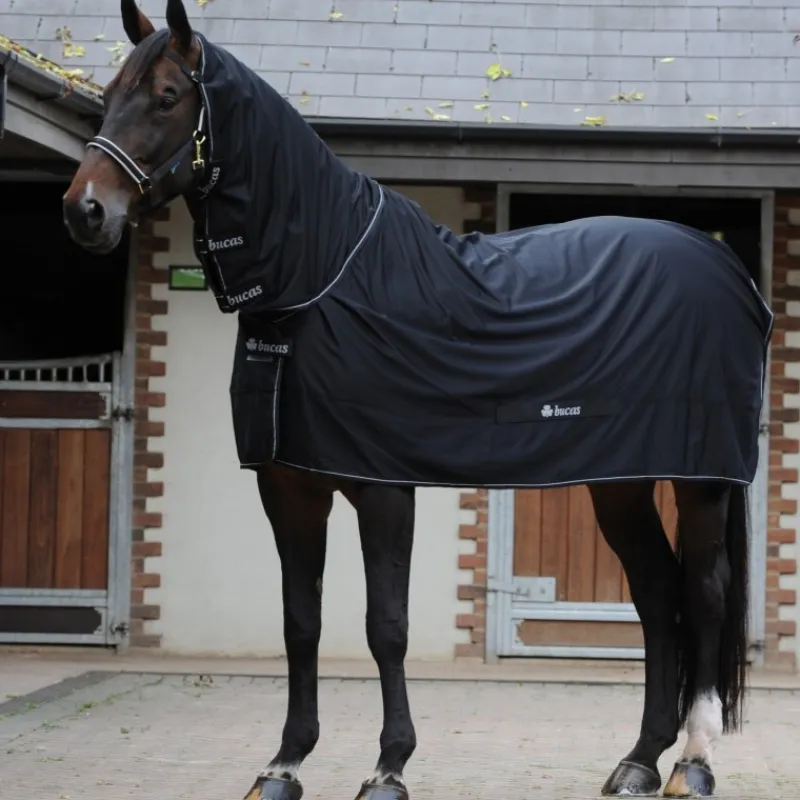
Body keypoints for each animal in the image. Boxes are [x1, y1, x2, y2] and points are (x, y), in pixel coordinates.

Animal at [62, 2, 773, 798]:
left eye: (164, 96)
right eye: (106, 96)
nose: (85, 211)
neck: (321, 277)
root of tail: (725, 262)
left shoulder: (382, 487)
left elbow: (387, 626)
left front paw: (388, 767)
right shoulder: (289, 487)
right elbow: (300, 622)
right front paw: (283, 764)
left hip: (702, 480)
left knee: (703, 594)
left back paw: (694, 761)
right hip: (619, 481)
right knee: (655, 593)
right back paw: (637, 762)